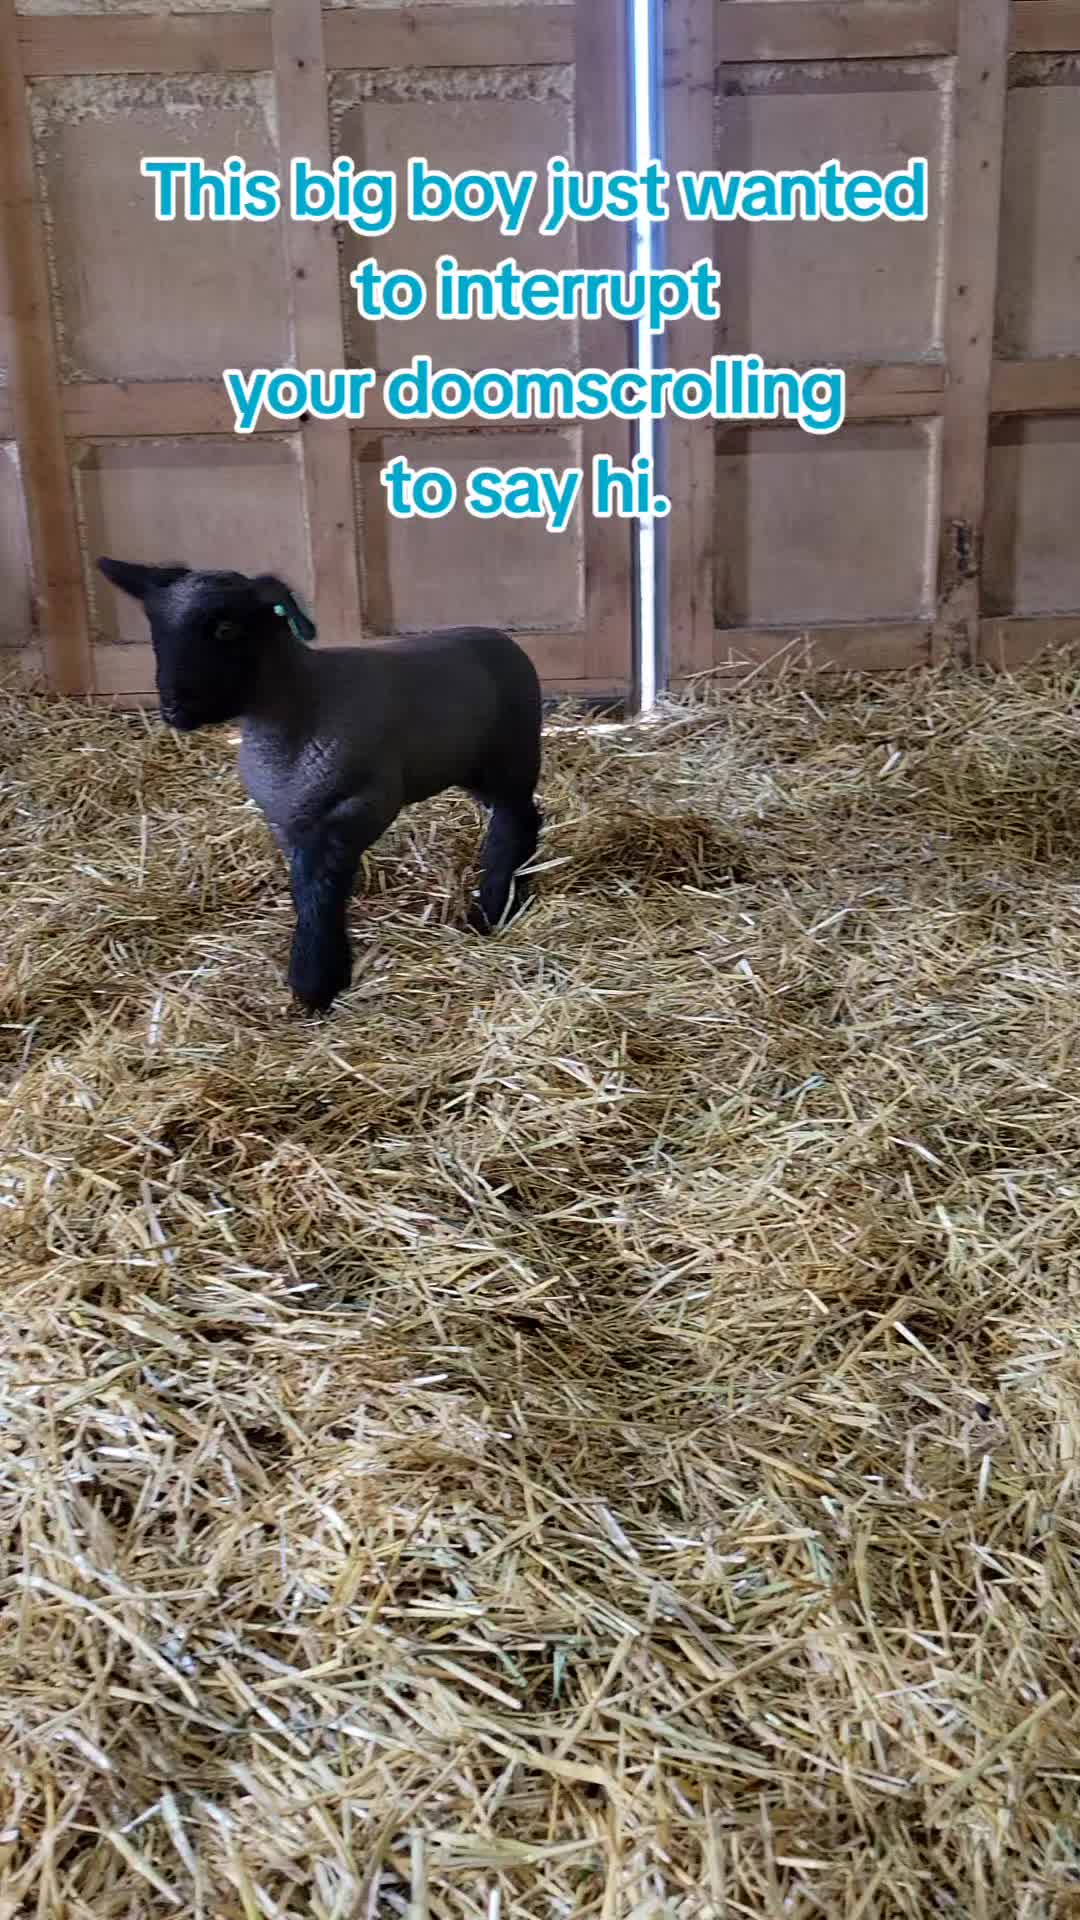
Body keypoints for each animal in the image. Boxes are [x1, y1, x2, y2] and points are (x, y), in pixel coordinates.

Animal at [96, 558, 543, 1012]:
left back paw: (494, 906)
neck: (303, 704)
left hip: (510, 757)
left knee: (514, 821)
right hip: (471, 769)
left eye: (226, 628)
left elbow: (321, 890)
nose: (173, 709)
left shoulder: (358, 807)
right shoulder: (288, 821)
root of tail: (499, 638)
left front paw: (315, 983)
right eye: (156, 629)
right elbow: (304, 887)